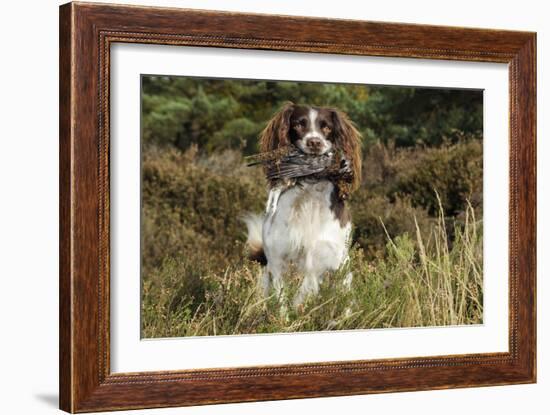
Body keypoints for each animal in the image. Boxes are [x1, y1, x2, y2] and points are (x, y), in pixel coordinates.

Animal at [245, 102, 362, 308]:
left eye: (326, 127)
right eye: (299, 124)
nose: (314, 142)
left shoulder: (333, 260)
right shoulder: (278, 262)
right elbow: (283, 305)